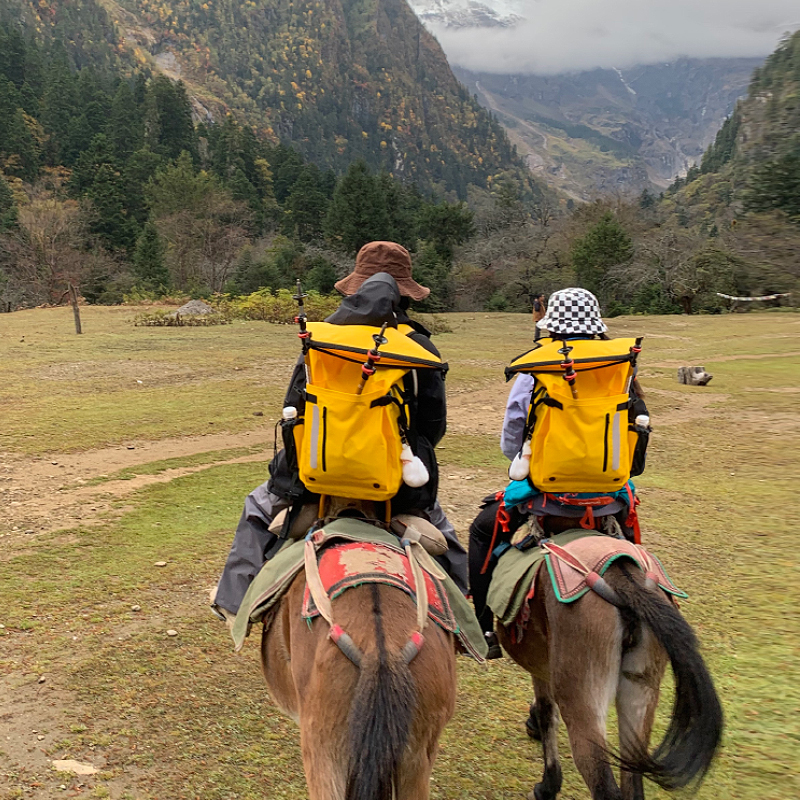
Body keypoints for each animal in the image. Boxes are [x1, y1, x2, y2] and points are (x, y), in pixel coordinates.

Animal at [496, 556, 720, 800]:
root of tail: (623, 578)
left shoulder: (541, 666)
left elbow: (547, 714)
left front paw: (547, 786)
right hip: (639, 698)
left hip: (583, 701)